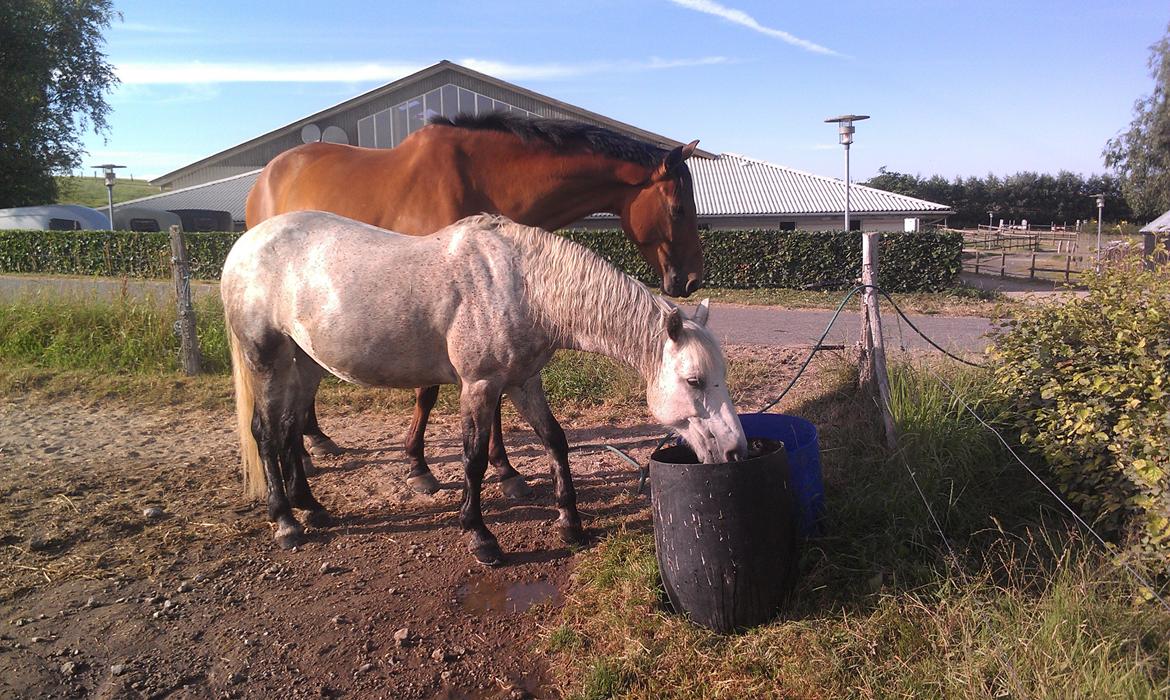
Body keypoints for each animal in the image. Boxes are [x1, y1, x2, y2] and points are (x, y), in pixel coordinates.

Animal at [223, 210, 744, 568]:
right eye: (694, 381)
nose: (736, 451)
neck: (522, 284)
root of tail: (245, 245)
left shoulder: (523, 382)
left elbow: (555, 440)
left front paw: (570, 523)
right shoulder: (479, 386)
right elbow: (473, 458)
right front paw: (481, 537)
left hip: (304, 364)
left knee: (290, 431)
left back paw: (311, 507)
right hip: (267, 360)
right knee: (266, 434)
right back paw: (286, 521)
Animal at [244, 112, 702, 498]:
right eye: (678, 208)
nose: (692, 279)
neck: (477, 180)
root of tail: (269, 174)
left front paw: (505, 470)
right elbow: (428, 393)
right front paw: (420, 467)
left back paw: (314, 440)